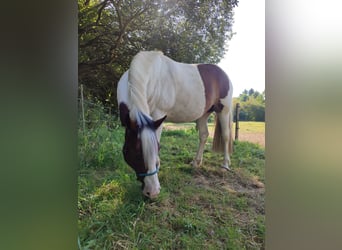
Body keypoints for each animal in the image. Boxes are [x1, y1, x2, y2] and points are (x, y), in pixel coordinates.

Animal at [117, 51, 232, 199]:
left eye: (158, 149)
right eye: (136, 152)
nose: (152, 191)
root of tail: (223, 74)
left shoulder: (158, 115)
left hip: (224, 110)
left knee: (226, 136)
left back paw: (225, 165)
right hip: (203, 114)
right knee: (204, 135)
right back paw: (196, 162)